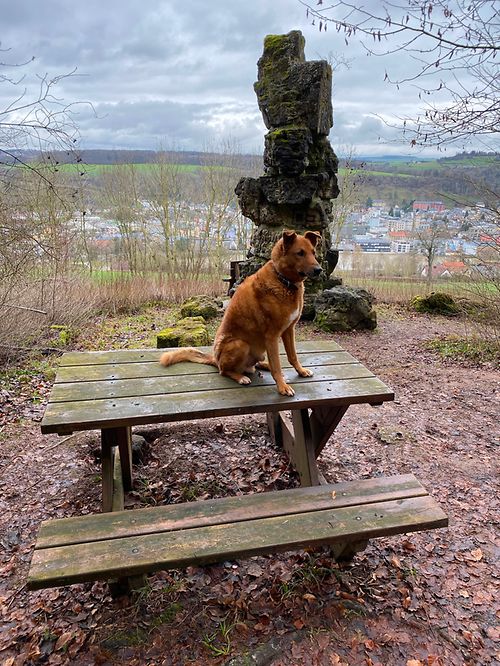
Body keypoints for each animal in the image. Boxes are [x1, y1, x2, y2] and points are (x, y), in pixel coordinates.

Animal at [159, 230, 322, 396]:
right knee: (224, 371)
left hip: (259, 351)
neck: (283, 280)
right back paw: (241, 377)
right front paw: (283, 387)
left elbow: (292, 356)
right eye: (300, 253)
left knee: (256, 364)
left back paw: (264, 365)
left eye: (313, 253)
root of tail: (216, 359)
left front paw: (301, 371)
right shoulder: (272, 336)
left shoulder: (289, 330)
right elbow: (276, 365)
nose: (319, 270)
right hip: (240, 344)